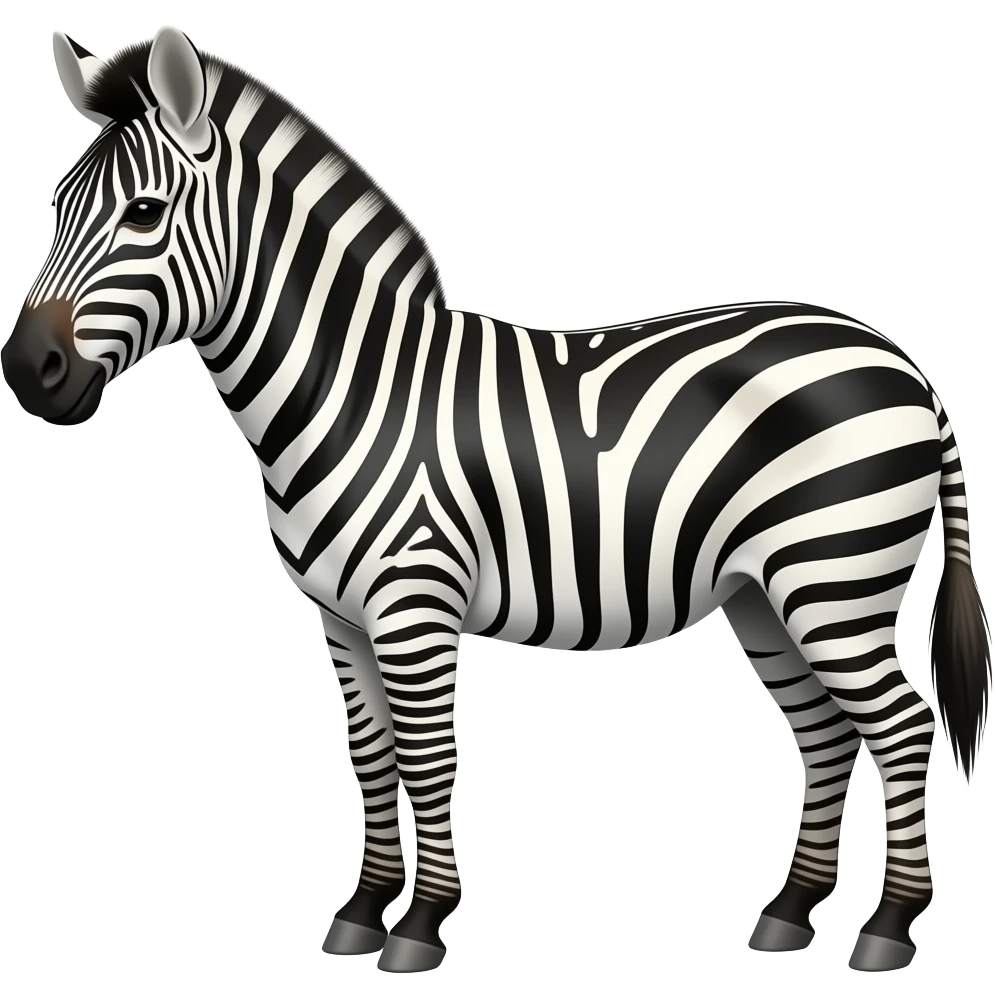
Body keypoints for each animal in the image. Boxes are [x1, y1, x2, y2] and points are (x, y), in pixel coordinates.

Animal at [2, 25, 990, 976]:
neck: (352, 391)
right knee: (826, 733)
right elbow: (373, 758)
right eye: (56, 206)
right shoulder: (341, 619)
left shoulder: (415, 604)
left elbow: (428, 757)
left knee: (902, 726)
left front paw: (419, 927)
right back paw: (790, 914)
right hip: (764, 593)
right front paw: (362, 913)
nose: (26, 372)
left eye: (143, 212)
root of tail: (907, 364)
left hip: (834, 577)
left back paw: (888, 928)